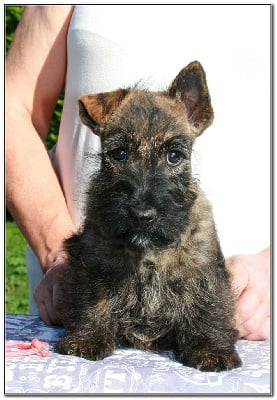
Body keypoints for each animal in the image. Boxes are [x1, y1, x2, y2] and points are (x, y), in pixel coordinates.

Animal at [56, 60, 242, 372]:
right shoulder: (93, 264)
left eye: (174, 156)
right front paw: (86, 339)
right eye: (118, 153)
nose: (143, 215)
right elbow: (92, 302)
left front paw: (211, 349)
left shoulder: (204, 269)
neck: (148, 251)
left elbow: (207, 306)